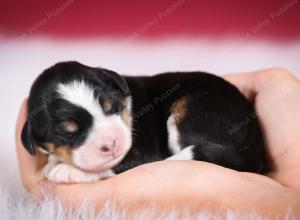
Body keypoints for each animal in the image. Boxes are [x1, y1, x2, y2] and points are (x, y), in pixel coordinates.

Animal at [21, 61, 266, 183]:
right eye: (67, 132)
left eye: (112, 107)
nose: (111, 144)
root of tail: (255, 145)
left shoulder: (141, 151)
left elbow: (119, 164)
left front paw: (67, 171)